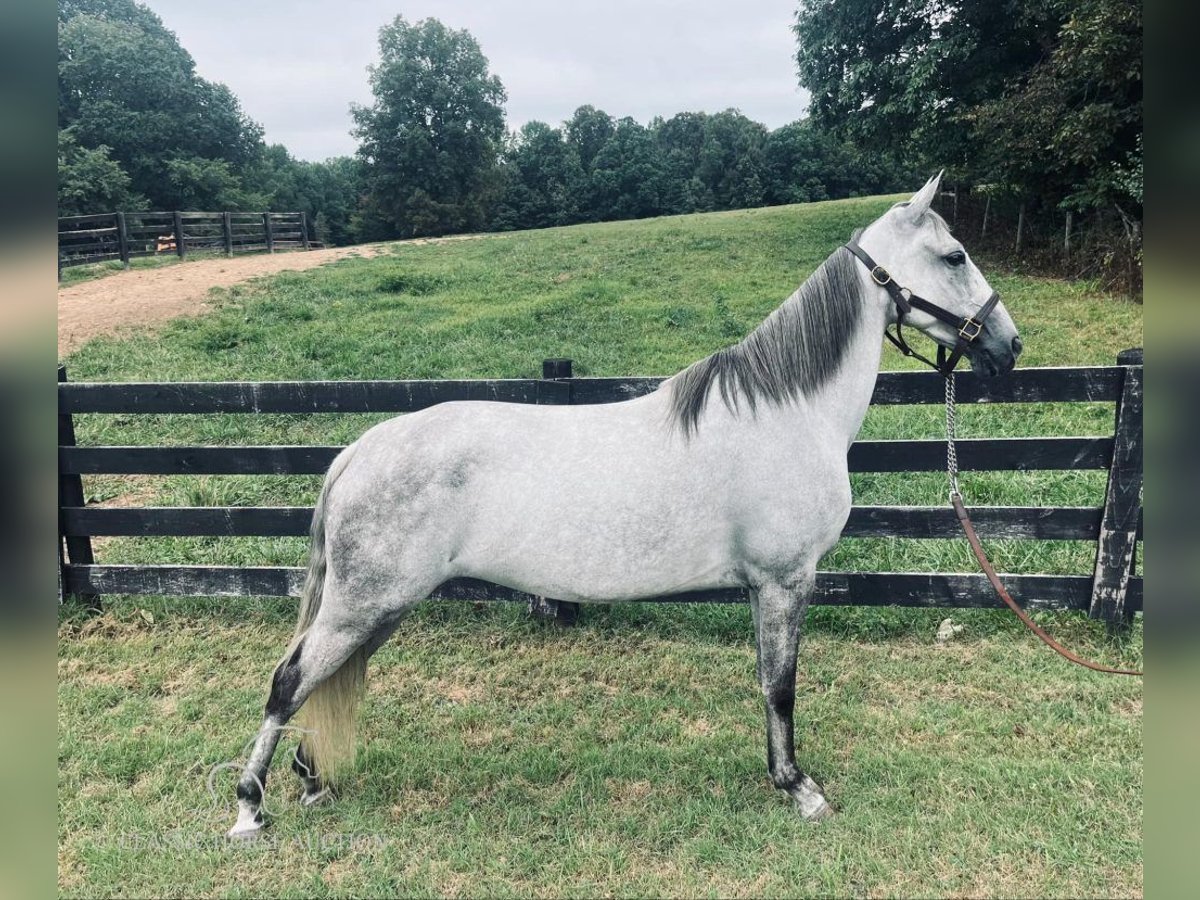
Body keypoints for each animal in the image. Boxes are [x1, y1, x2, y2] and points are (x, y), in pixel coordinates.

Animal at [229, 174, 1017, 840]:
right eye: (954, 254)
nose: (1009, 345)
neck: (786, 414)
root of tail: (359, 450)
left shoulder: (766, 587)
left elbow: (769, 683)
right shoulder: (785, 581)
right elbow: (781, 686)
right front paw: (798, 787)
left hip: (379, 609)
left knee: (321, 681)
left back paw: (311, 781)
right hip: (363, 604)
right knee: (289, 681)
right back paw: (249, 807)